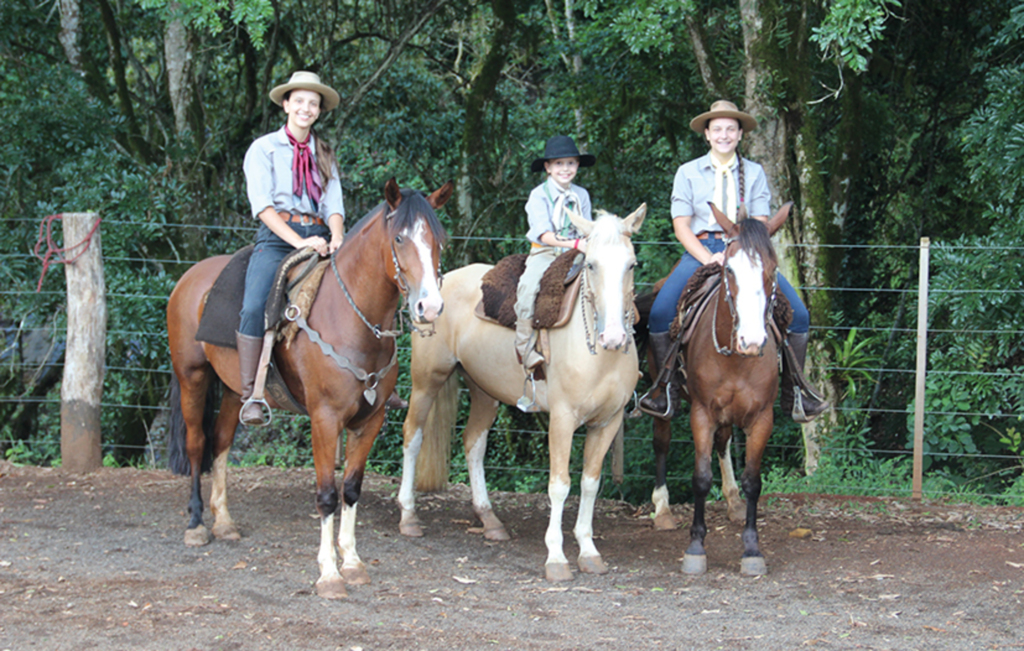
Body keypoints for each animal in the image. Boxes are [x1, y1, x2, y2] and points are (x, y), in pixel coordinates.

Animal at [164, 179, 452, 601]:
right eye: (399, 238)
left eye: (438, 241)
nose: (429, 308)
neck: (353, 321)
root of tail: (190, 277)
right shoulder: (325, 419)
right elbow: (327, 494)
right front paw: (329, 574)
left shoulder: (370, 420)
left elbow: (351, 489)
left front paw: (353, 562)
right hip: (192, 376)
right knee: (197, 442)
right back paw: (197, 524)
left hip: (235, 392)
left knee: (221, 442)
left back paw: (225, 521)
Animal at [395, 204, 643, 581]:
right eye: (590, 264)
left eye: (631, 264)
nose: (613, 336)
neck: (602, 357)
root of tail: (438, 286)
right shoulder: (562, 420)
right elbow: (559, 484)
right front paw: (556, 557)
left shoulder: (608, 423)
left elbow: (589, 483)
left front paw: (588, 551)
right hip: (427, 380)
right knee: (413, 435)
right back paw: (408, 515)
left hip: (483, 389)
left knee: (473, 442)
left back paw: (489, 520)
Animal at [647, 202, 790, 573]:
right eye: (729, 270)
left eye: (772, 269)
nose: (751, 341)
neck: (736, 358)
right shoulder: (701, 414)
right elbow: (700, 477)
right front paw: (696, 548)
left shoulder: (762, 418)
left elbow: (754, 480)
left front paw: (752, 549)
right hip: (664, 399)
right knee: (662, 440)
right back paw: (662, 510)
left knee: (724, 443)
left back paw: (733, 500)